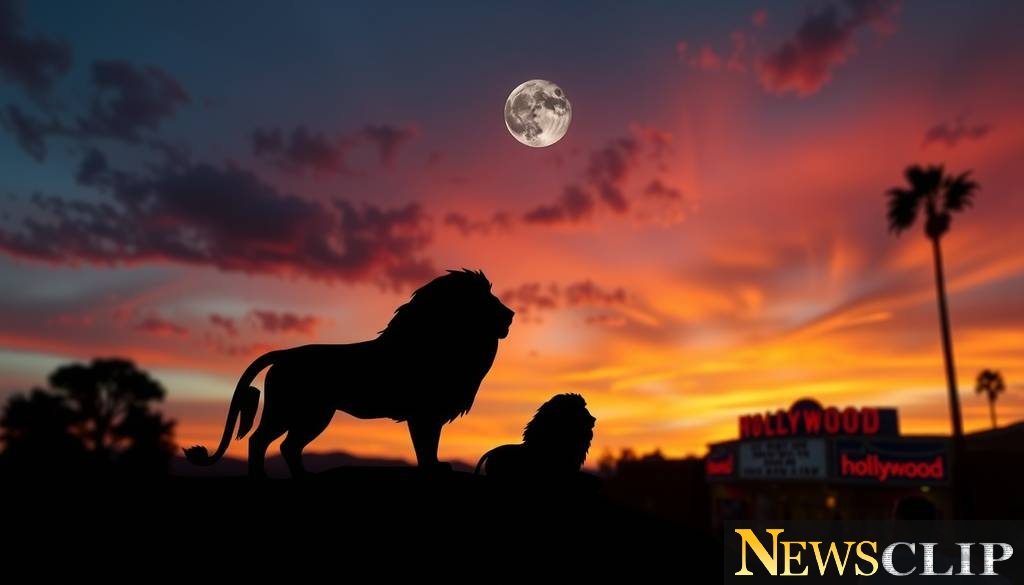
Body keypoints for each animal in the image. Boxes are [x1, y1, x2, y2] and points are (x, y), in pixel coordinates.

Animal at [184, 269, 514, 477]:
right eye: (484, 300)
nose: (510, 314)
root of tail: (285, 353)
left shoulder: (431, 414)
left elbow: (430, 446)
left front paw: (436, 465)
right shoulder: (423, 414)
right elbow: (424, 446)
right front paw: (432, 469)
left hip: (312, 416)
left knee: (288, 446)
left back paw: (305, 476)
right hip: (294, 411)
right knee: (260, 440)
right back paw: (262, 478)